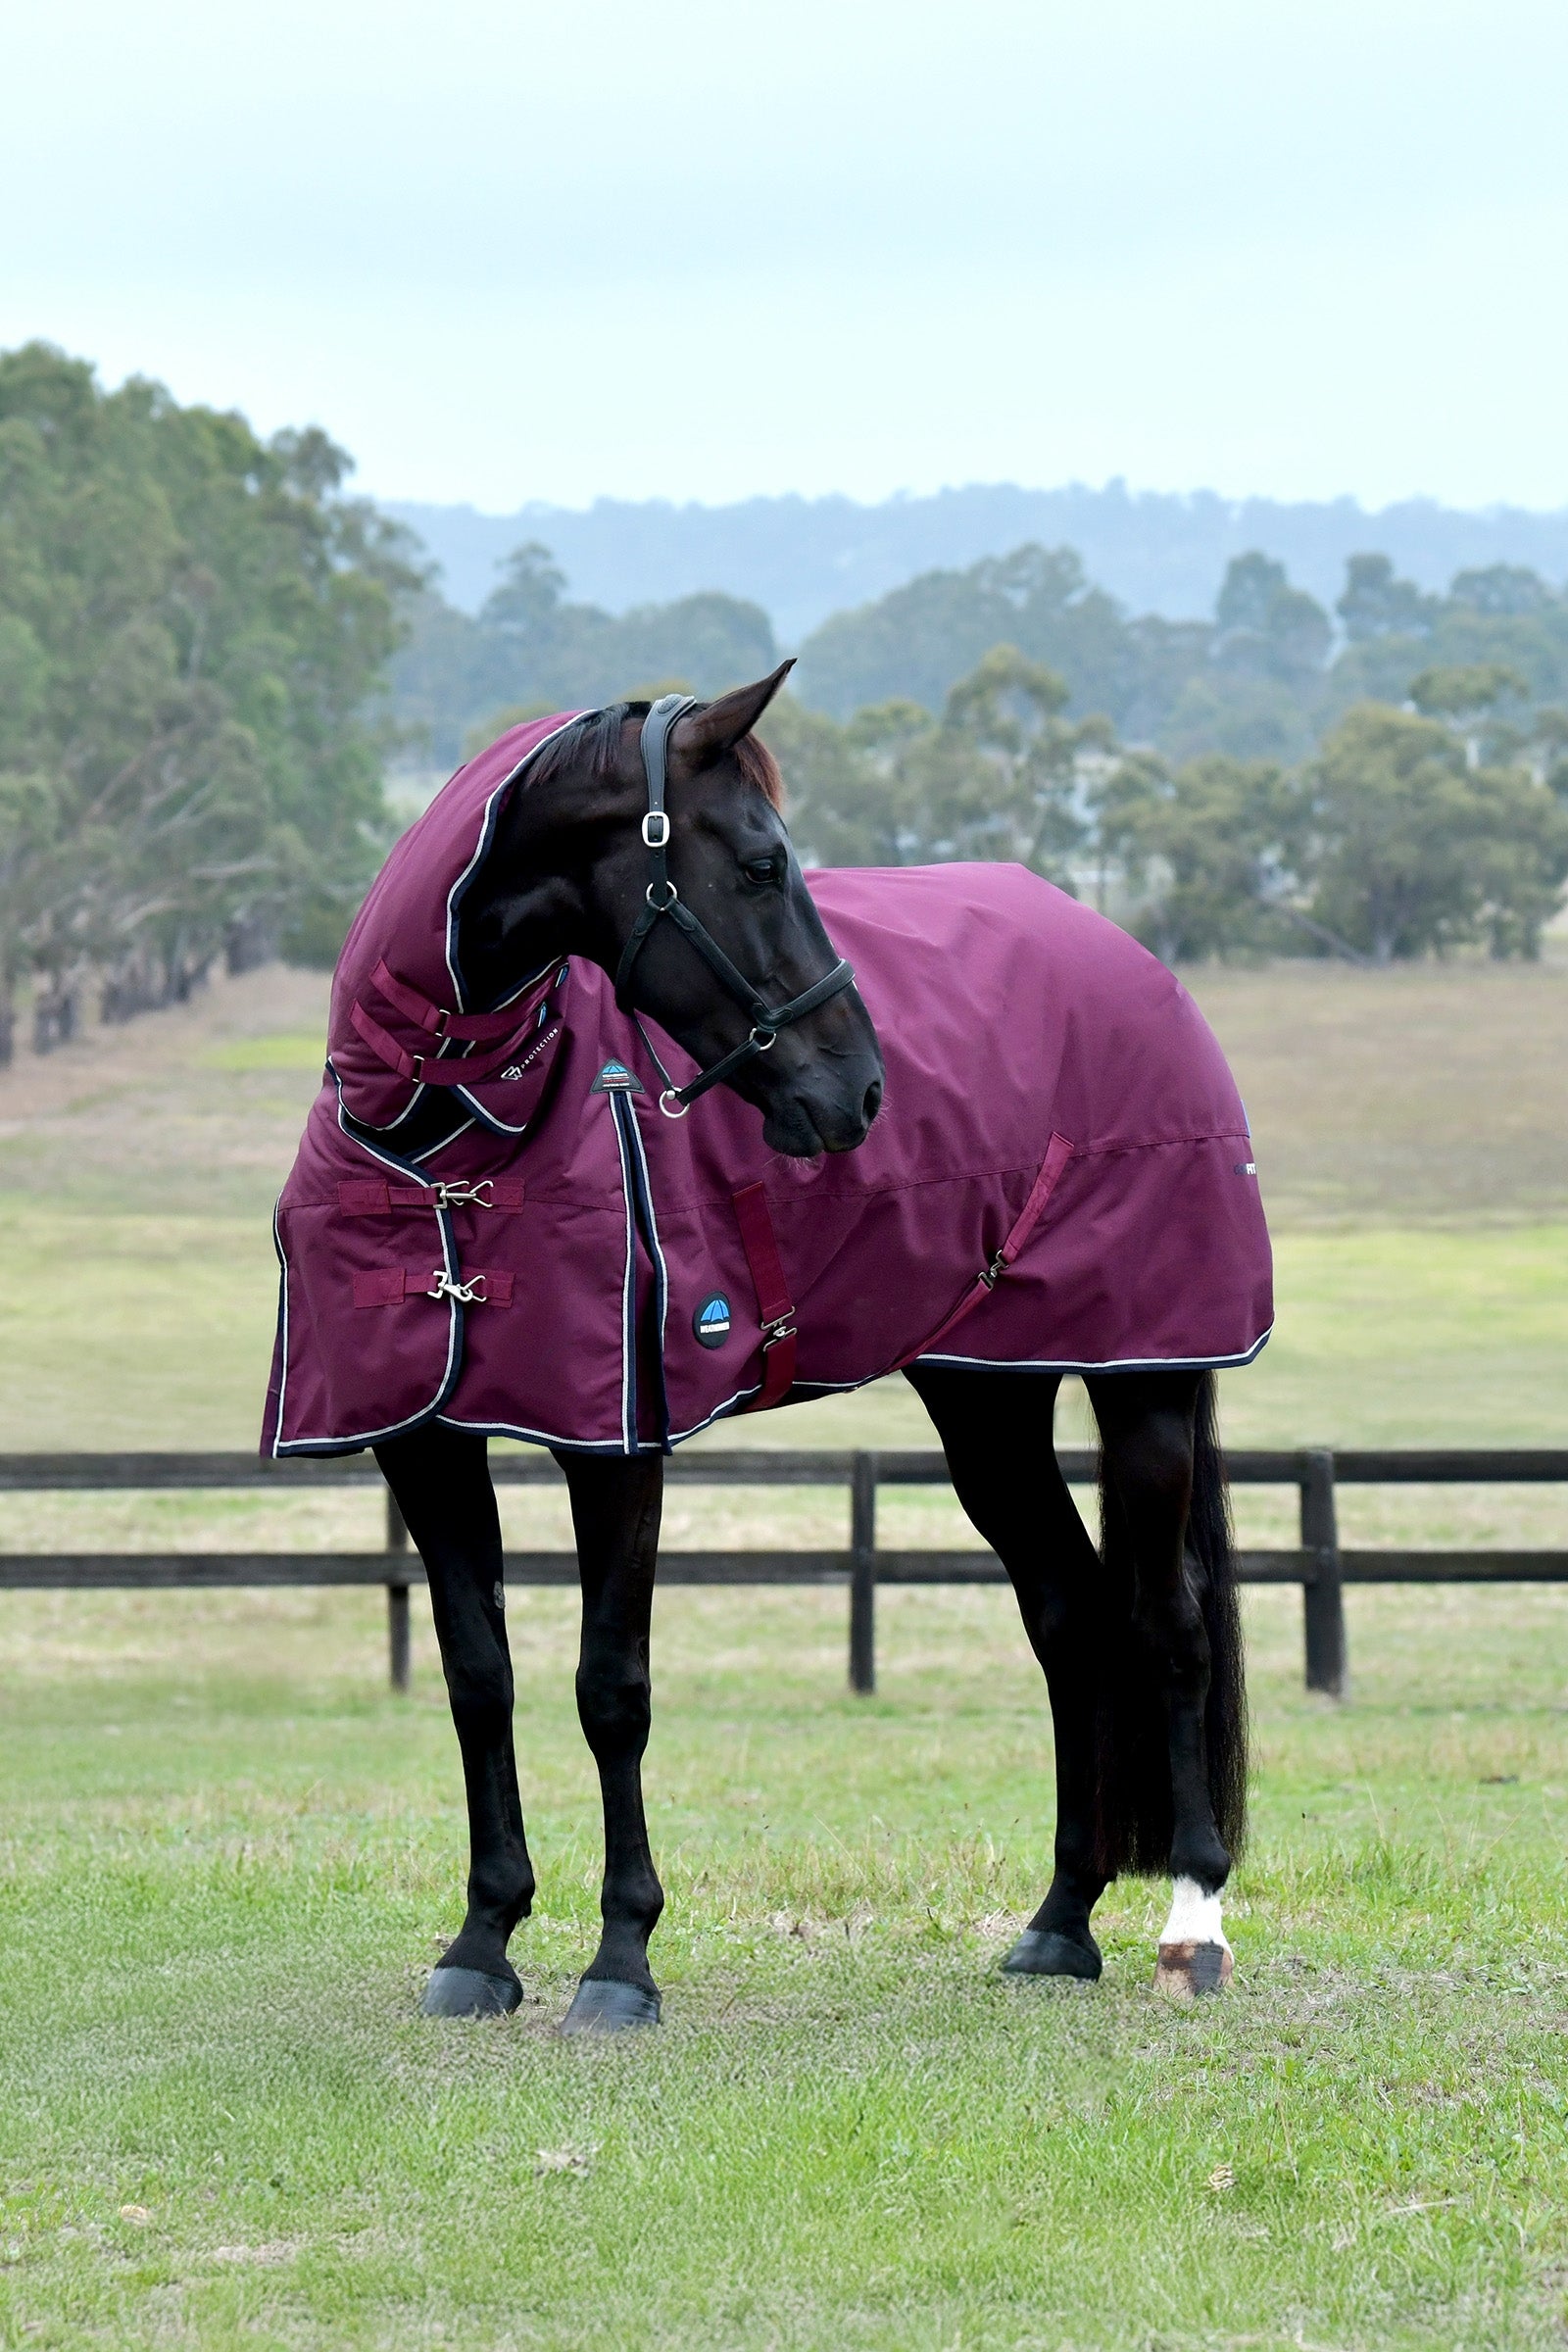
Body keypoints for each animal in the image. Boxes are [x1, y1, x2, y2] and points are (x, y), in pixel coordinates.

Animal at [264, 663, 1267, 2032]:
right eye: (759, 862)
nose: (862, 1093)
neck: (450, 1131)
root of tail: (1127, 960)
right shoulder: (420, 1442)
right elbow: (479, 1676)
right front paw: (482, 1940)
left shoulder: (616, 1446)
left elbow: (610, 1689)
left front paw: (620, 1960)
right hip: (986, 1400)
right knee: (1070, 1616)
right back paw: (1059, 1923)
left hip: (1146, 1382)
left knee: (1168, 1626)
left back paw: (1192, 1923)